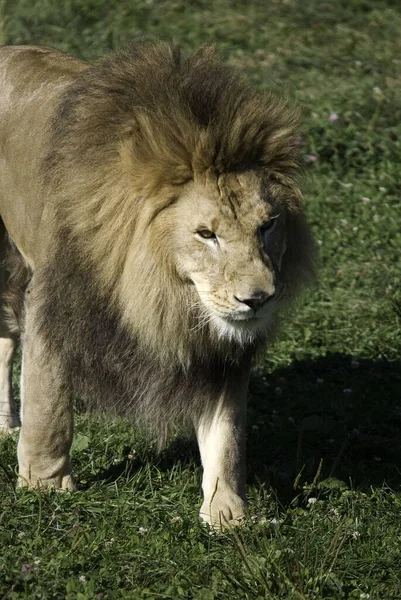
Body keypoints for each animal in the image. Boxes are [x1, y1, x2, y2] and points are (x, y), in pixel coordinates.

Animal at [0, 42, 314, 528]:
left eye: (267, 226)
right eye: (206, 234)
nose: (258, 299)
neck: (162, 293)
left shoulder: (221, 350)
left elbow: (227, 435)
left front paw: (228, 516)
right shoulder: (53, 306)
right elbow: (47, 406)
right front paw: (44, 488)